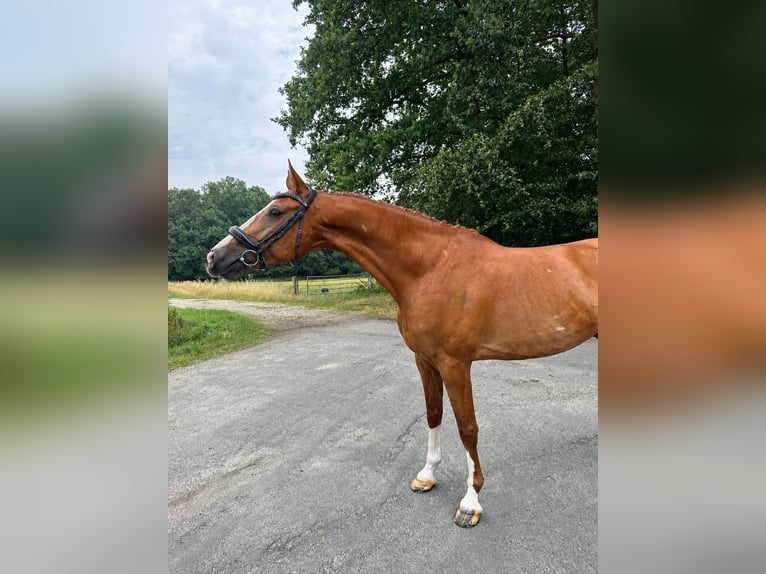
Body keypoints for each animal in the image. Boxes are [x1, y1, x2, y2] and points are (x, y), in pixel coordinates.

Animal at [206, 161, 598, 527]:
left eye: (275, 212)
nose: (214, 257)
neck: (430, 269)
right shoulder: (425, 360)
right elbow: (433, 414)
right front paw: (427, 476)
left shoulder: (455, 363)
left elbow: (467, 427)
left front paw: (470, 502)